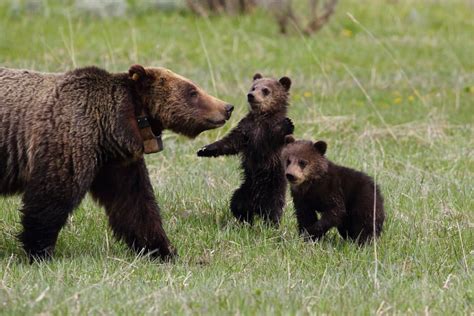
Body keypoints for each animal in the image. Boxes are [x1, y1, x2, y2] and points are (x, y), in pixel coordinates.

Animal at [0, 65, 233, 262]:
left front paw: (163, 250)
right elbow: (51, 197)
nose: (227, 107)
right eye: (192, 91)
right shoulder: (69, 142)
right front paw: (39, 251)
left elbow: (135, 205)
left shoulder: (117, 163)